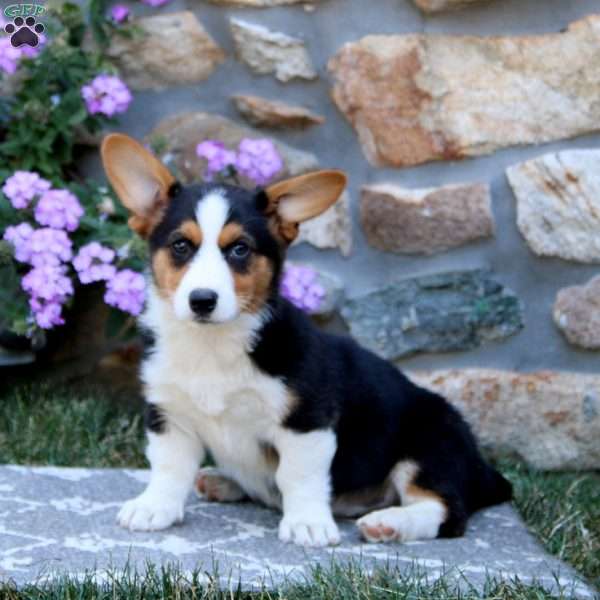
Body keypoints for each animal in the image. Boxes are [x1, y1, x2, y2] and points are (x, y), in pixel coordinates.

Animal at [99, 135, 510, 548]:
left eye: (240, 249)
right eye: (181, 246)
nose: (202, 300)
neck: (212, 344)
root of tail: (483, 470)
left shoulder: (306, 420)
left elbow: (298, 476)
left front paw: (307, 524)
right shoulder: (170, 414)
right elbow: (168, 468)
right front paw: (153, 507)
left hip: (430, 445)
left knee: (446, 511)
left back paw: (390, 523)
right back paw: (223, 481)